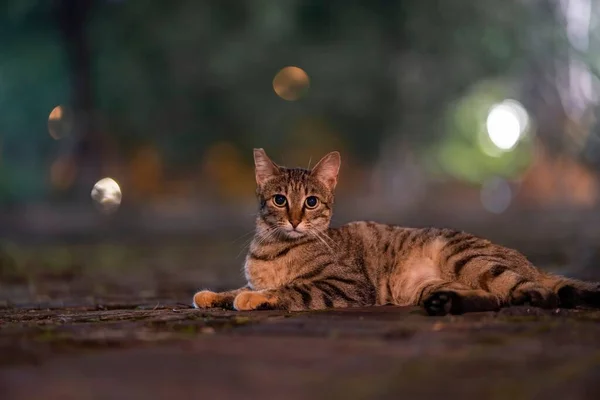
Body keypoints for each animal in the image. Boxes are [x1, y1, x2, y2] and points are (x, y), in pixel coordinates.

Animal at [193, 148, 600, 314]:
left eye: (310, 202)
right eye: (280, 200)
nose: (294, 219)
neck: (273, 248)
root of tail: (529, 263)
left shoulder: (346, 286)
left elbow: (289, 290)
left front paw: (253, 298)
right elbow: (238, 287)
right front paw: (213, 294)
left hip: (469, 258)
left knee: (533, 294)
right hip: (432, 284)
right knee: (494, 298)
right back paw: (446, 304)